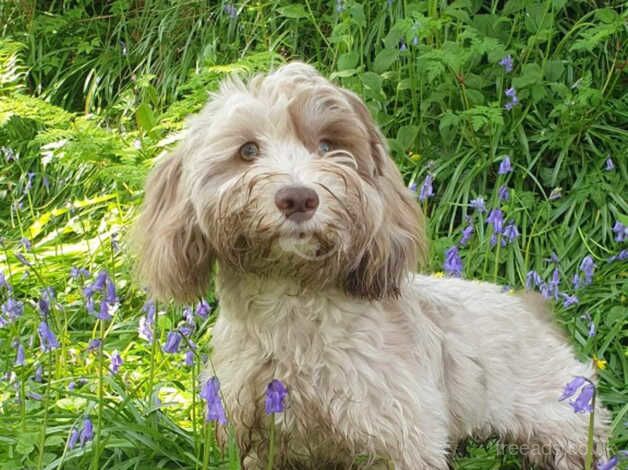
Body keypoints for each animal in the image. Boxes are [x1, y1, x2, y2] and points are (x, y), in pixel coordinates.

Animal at [134, 62, 608, 470]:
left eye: (328, 146)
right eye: (247, 150)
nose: (298, 197)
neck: (293, 308)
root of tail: (528, 305)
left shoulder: (404, 439)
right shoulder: (248, 436)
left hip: (556, 412)